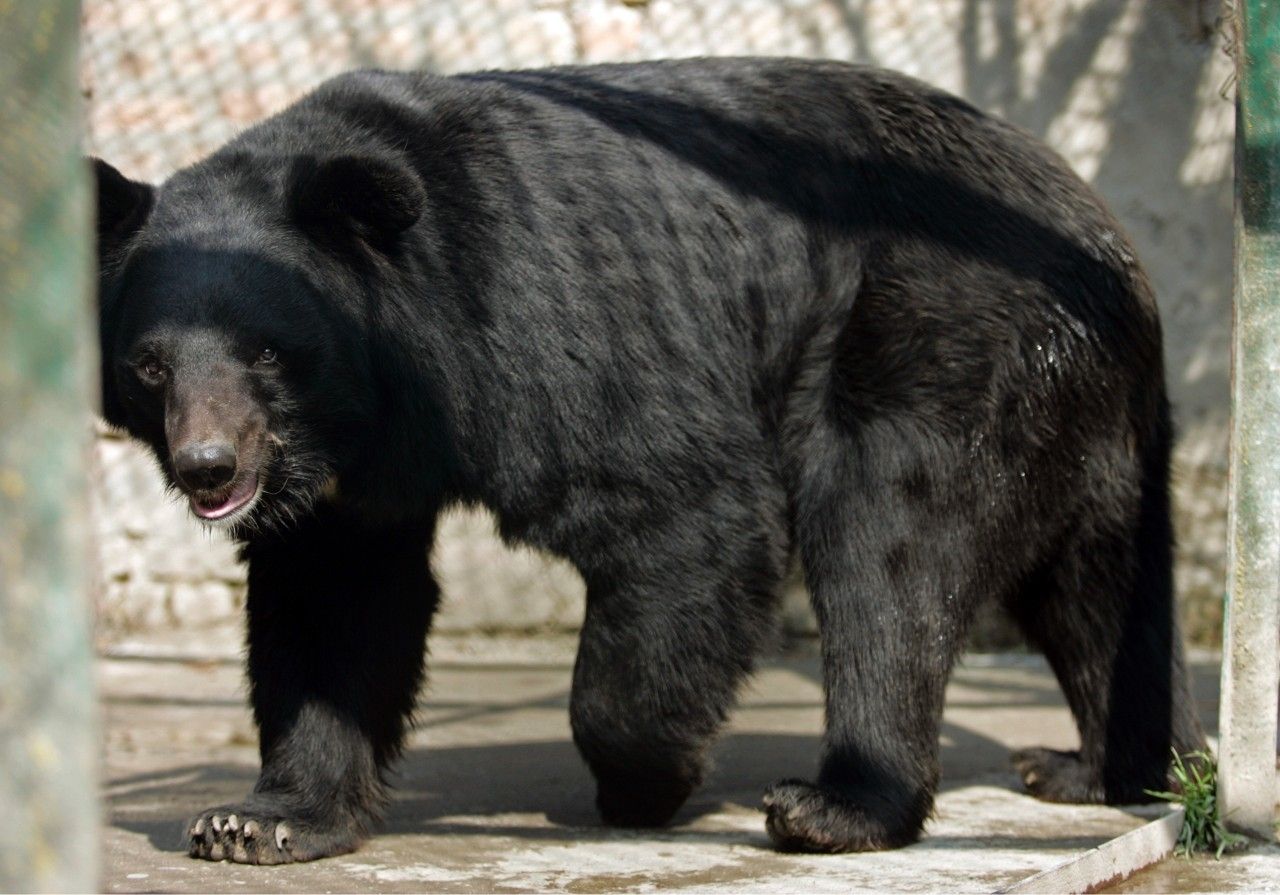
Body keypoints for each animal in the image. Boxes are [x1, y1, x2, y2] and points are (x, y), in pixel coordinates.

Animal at [93, 57, 1206, 864]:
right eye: (149, 364)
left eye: (269, 350)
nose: (208, 468)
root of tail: (1103, 236)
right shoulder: (350, 474)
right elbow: (335, 597)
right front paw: (259, 818)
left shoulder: (538, 319)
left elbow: (680, 510)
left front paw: (645, 779)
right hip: (1084, 413)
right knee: (1096, 586)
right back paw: (1102, 768)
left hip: (940, 333)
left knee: (890, 547)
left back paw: (834, 805)